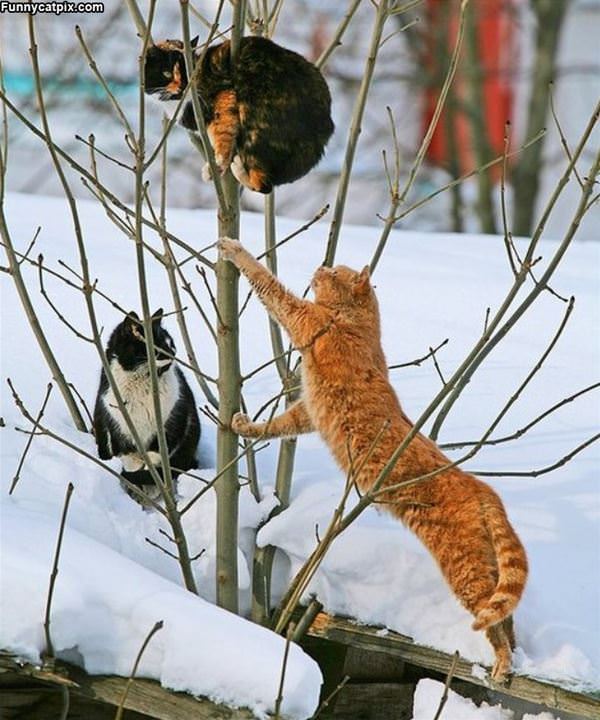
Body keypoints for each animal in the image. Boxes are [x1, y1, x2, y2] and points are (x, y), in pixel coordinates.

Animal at [92, 306, 199, 498]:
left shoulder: (173, 421)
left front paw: (152, 486)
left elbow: (155, 457)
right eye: (157, 346)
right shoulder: (117, 426)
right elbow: (131, 460)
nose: (173, 353)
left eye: (171, 343)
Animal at [144, 35, 336, 194]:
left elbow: (223, 133)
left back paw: (238, 169)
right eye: (167, 73)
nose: (184, 86)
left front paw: (217, 165)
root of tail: (325, 126)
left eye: (190, 70)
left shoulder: (225, 95)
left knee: (264, 184)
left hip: (254, 123)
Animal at [218, 239, 528, 684]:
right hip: (484, 565)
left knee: (494, 621)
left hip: (465, 570)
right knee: (508, 614)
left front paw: (234, 249)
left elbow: (267, 283)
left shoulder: (301, 319)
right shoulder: (308, 413)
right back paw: (513, 659)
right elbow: (278, 425)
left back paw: (502, 662)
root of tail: (483, 488)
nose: (321, 264)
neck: (359, 324)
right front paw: (247, 426)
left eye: (335, 273)